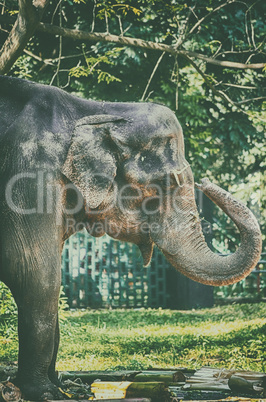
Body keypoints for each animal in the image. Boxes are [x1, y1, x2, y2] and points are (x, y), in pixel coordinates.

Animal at [0, 74, 262, 398]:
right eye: (166, 182)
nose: (205, 183)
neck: (95, 109)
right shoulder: (29, 176)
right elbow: (34, 273)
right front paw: (45, 393)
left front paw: (60, 385)